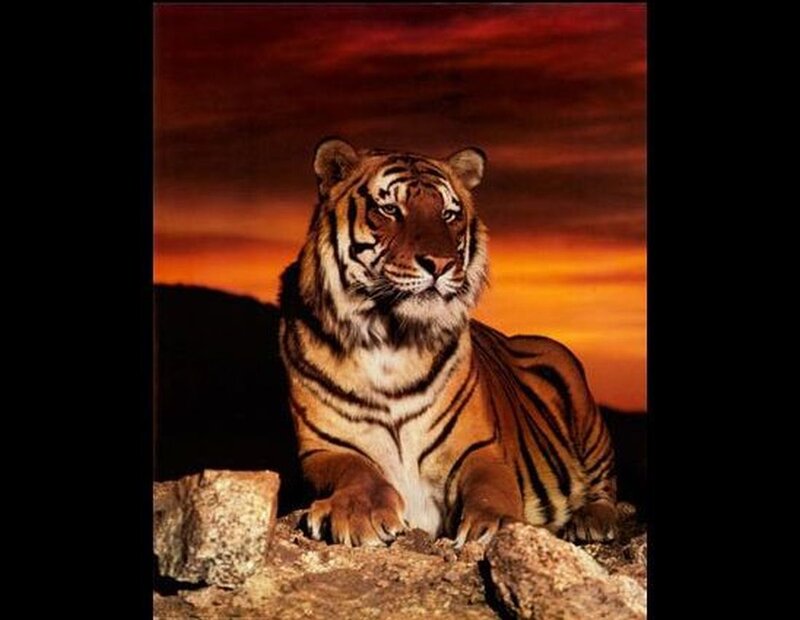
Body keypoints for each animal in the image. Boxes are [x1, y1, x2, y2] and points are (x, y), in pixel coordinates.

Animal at [278, 138, 618, 547]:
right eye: (390, 210)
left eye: (449, 214)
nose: (440, 264)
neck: (391, 338)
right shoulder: (326, 448)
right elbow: (356, 470)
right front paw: (361, 513)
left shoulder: (478, 450)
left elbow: (491, 489)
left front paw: (501, 526)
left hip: (573, 384)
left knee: (605, 488)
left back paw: (590, 521)